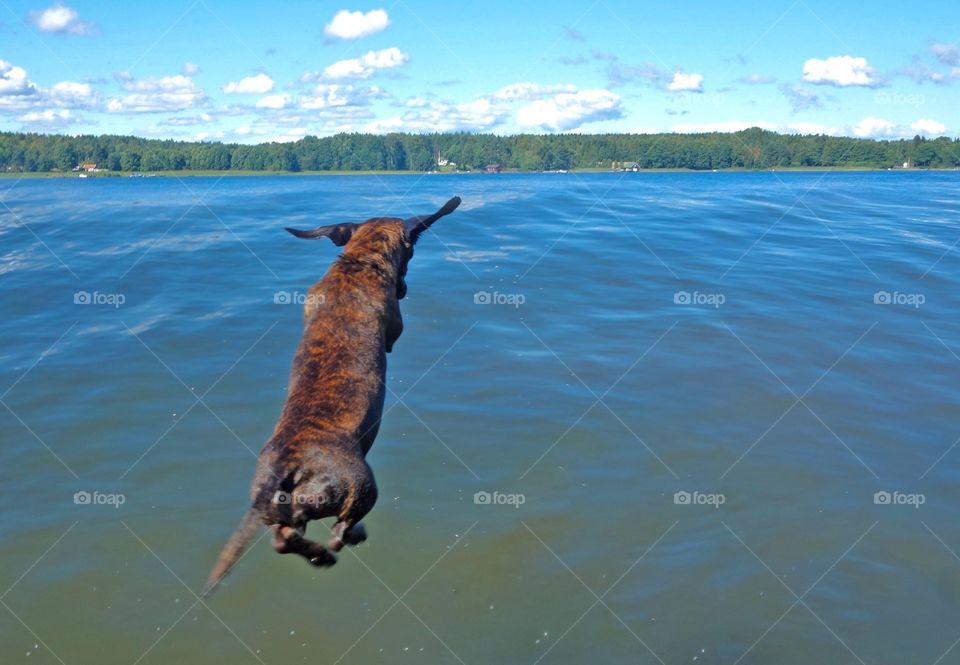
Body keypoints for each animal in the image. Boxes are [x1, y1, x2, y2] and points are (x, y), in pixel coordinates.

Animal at [202, 195, 462, 592]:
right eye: (412, 251)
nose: (404, 287)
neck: (359, 261)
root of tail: (288, 465)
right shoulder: (394, 327)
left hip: (288, 511)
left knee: (285, 539)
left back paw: (317, 555)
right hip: (360, 487)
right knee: (340, 531)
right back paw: (345, 542)